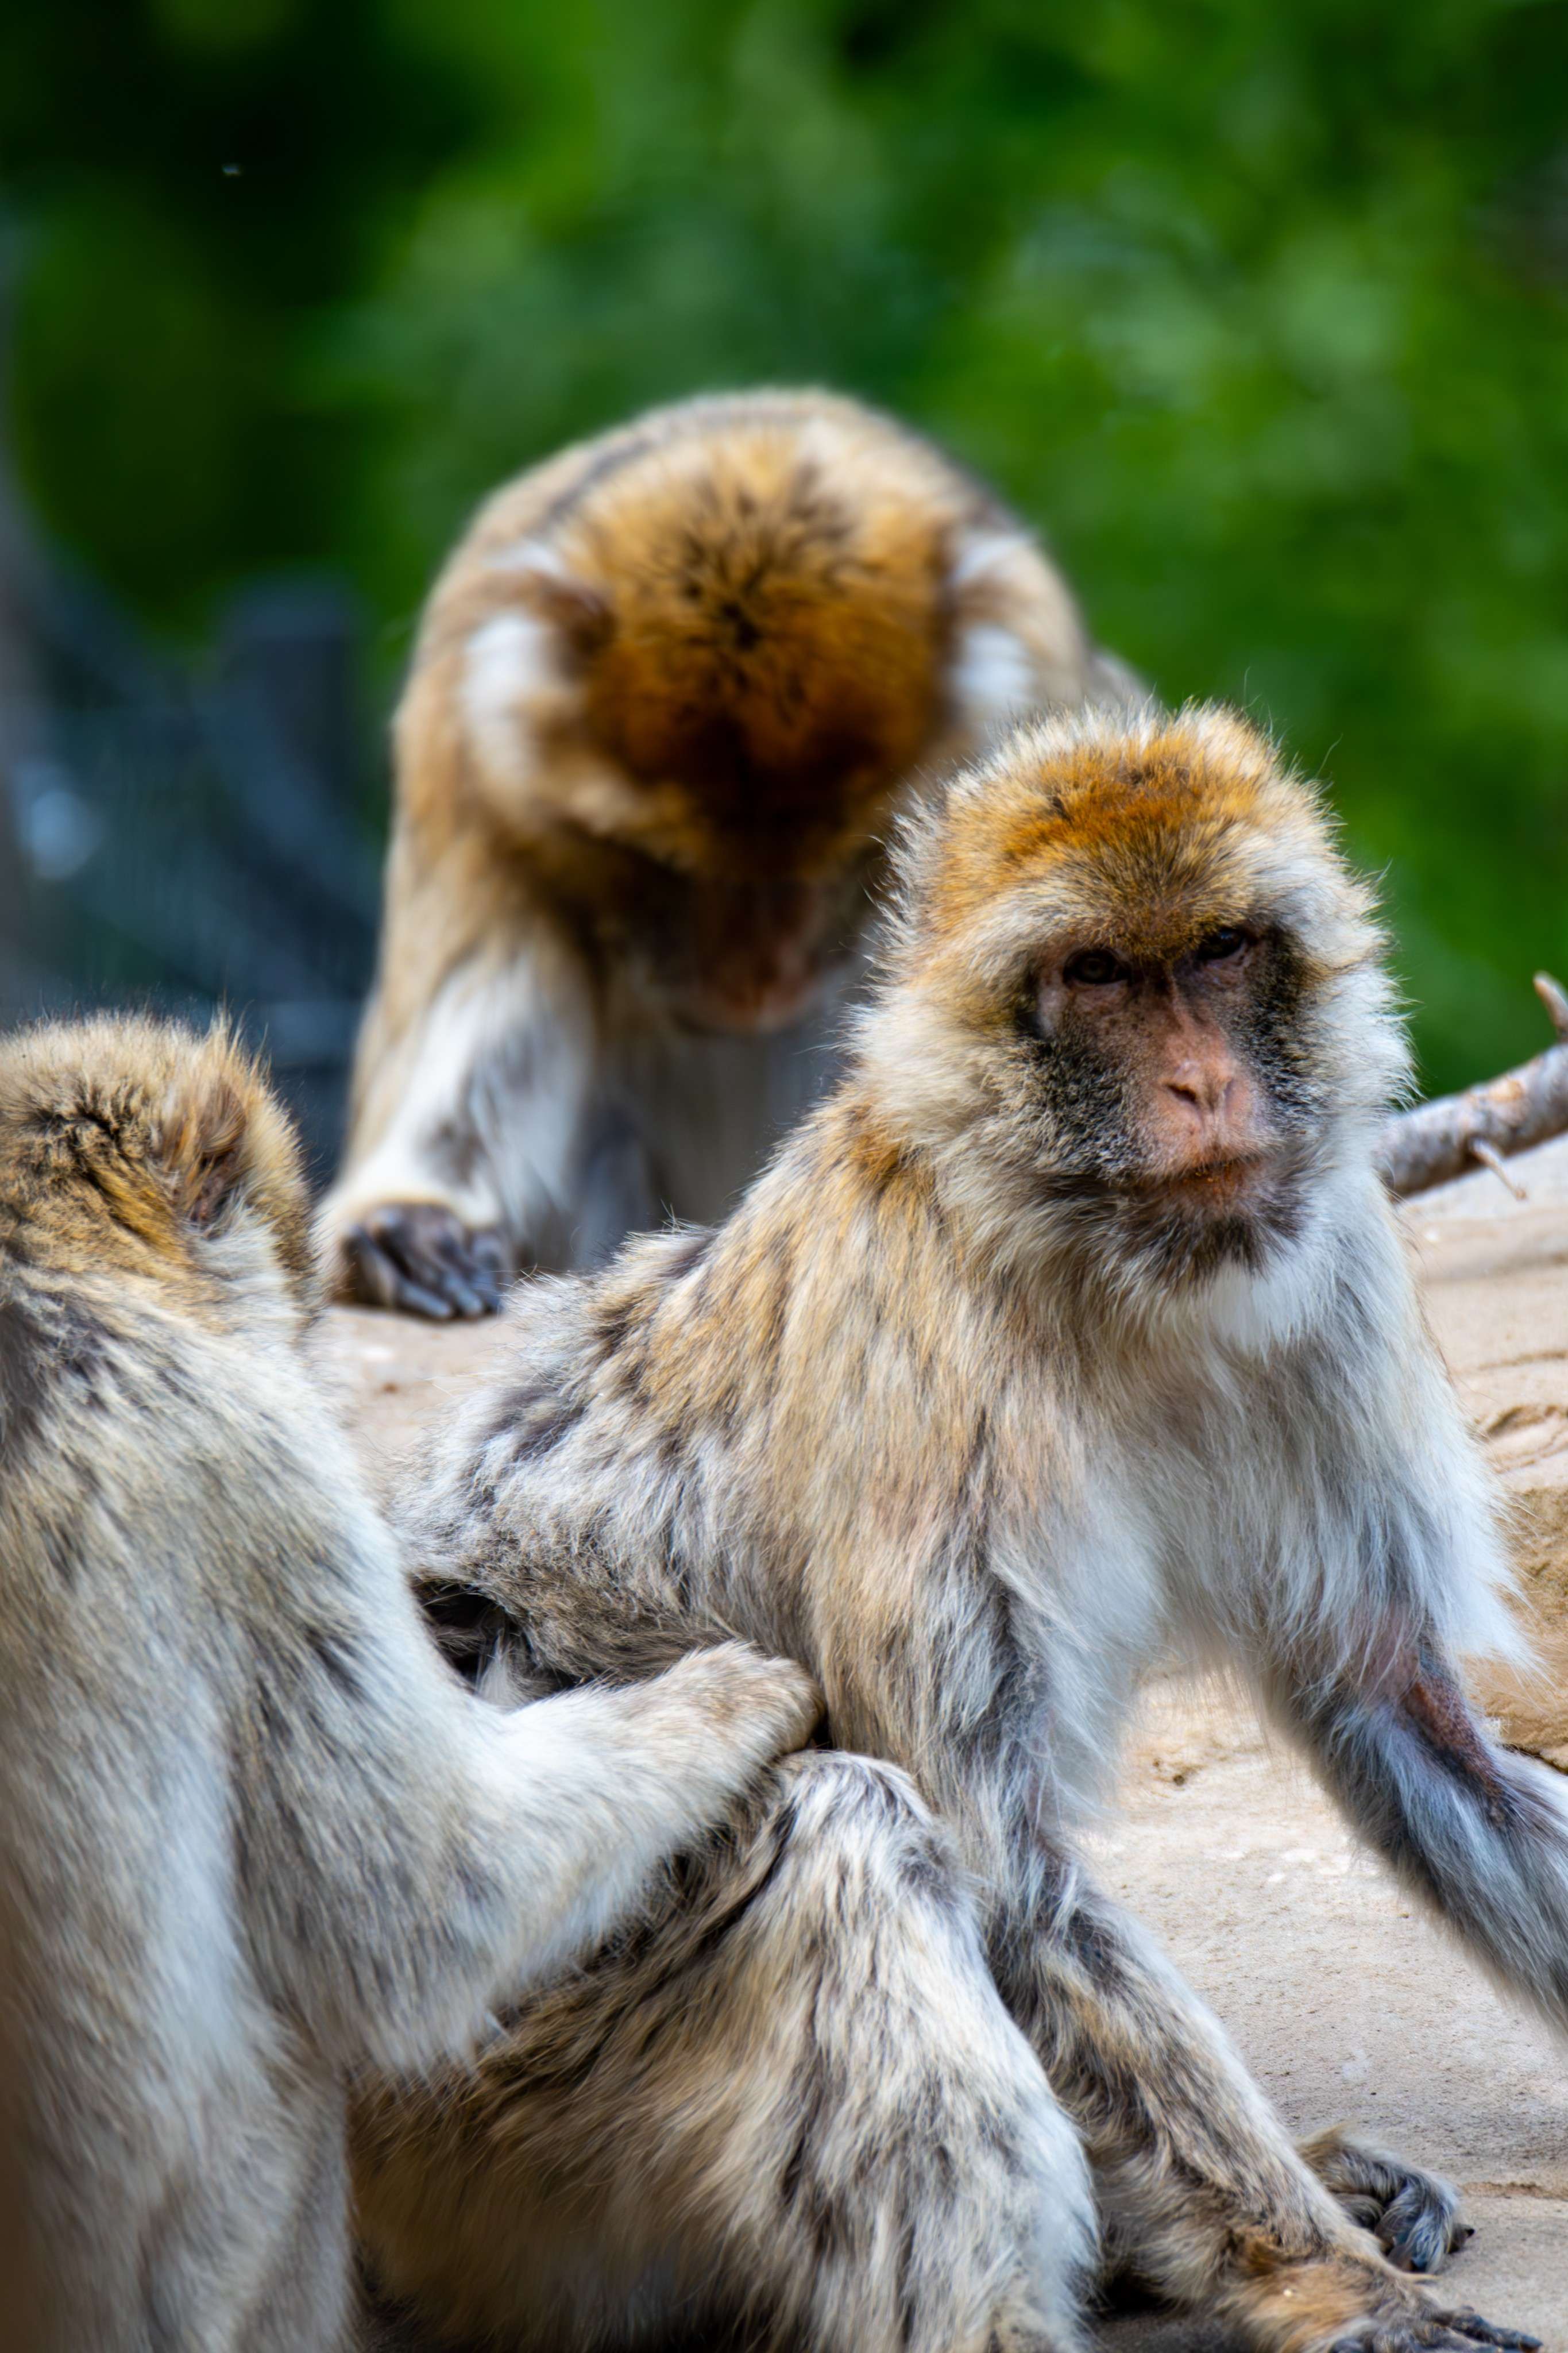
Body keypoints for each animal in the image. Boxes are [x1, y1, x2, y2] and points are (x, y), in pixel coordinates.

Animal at [351, 703, 1555, 2353]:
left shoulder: (1339, 1274)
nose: (1202, 1088)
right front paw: (1334, 2282)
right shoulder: (920, 1353)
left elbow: (1409, 1716)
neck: (1104, 1263)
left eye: (1222, 953)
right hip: (490, 2058)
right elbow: (1009, 1874)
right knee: (845, 1832)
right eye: (1099, 975)